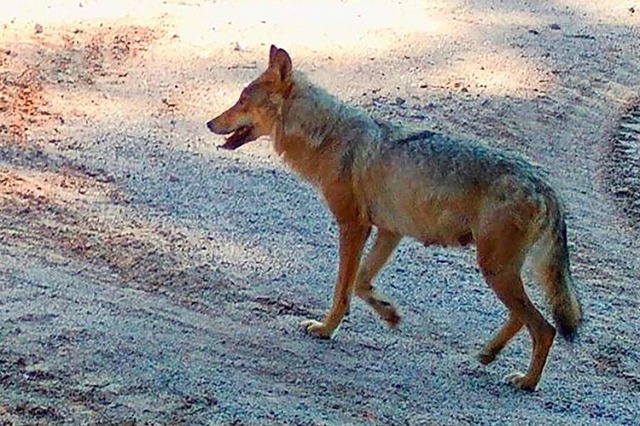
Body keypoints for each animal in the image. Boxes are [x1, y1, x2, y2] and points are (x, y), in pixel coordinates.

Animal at [208, 45, 584, 390]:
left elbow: (342, 289)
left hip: (495, 270)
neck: (327, 135)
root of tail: (544, 185)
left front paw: (326, 329)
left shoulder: (353, 226)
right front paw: (389, 312)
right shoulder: (389, 231)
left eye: (242, 101)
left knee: (545, 328)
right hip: (499, 272)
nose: (209, 123)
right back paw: (489, 354)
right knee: (524, 319)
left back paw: (527, 382)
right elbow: (361, 282)